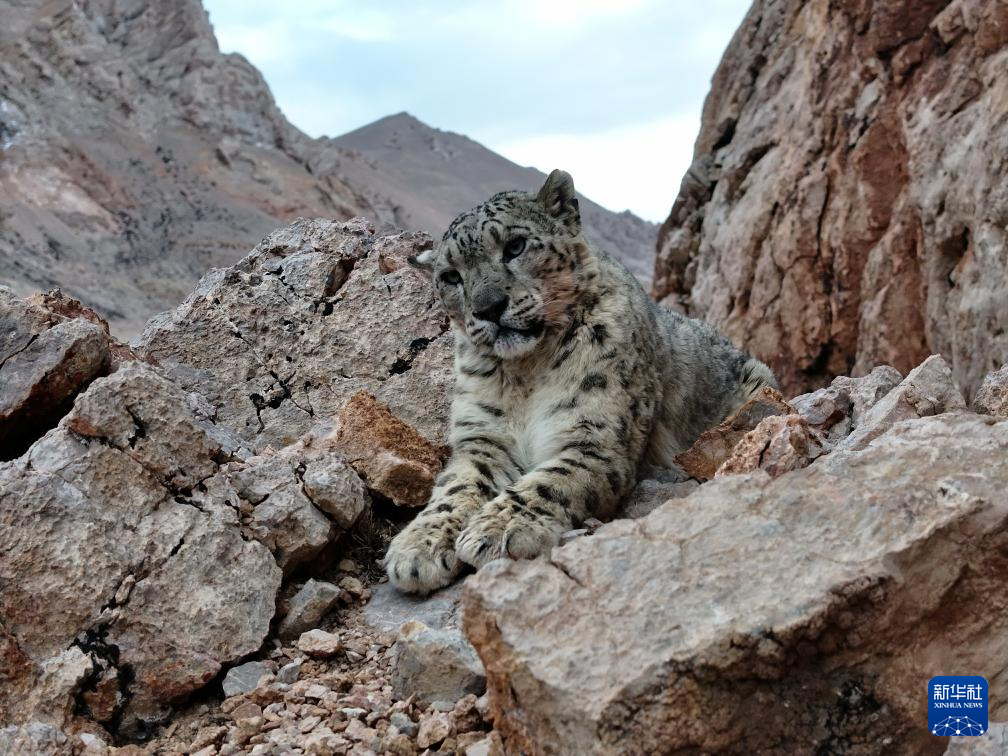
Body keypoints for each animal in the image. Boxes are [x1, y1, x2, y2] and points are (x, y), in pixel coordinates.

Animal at [384, 169, 777, 594]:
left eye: (515, 245)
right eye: (450, 276)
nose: (489, 307)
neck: (527, 372)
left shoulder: (597, 438)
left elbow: (550, 481)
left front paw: (498, 527)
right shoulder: (483, 438)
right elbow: (456, 487)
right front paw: (417, 547)